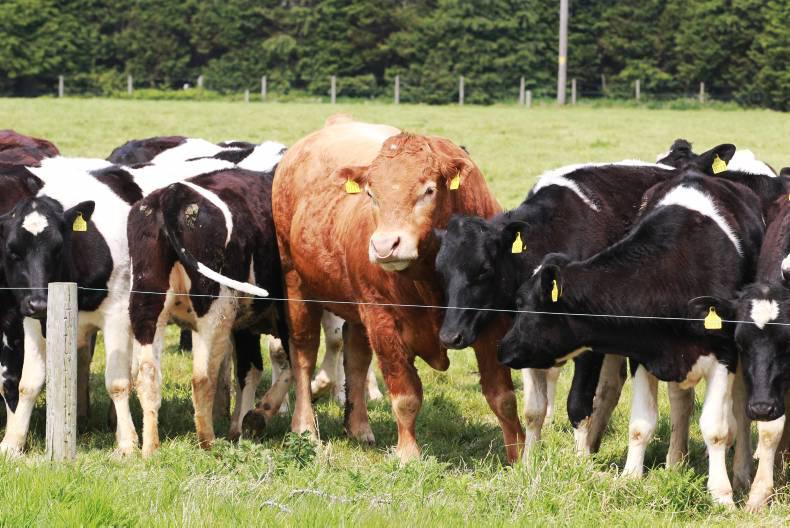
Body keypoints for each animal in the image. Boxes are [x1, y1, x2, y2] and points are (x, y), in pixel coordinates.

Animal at [248, 115, 525, 464]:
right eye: (371, 193)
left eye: (428, 190)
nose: (383, 246)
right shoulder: (383, 321)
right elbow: (405, 395)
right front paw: (408, 454)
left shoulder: (492, 320)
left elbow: (502, 397)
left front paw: (519, 455)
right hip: (297, 287)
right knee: (303, 355)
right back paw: (305, 428)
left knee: (355, 356)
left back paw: (358, 427)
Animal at [435, 159, 694, 457]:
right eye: (440, 271)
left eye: (484, 269)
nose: (449, 336)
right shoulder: (524, 340)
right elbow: (534, 410)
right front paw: (528, 460)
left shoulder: (591, 350)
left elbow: (578, 405)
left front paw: (580, 461)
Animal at [497, 170, 764, 505]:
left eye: (522, 304)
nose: (503, 349)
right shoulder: (643, 356)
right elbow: (641, 424)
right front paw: (631, 478)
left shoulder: (724, 356)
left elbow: (716, 429)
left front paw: (722, 495)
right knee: (681, 403)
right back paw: (675, 464)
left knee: (739, 410)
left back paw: (741, 473)